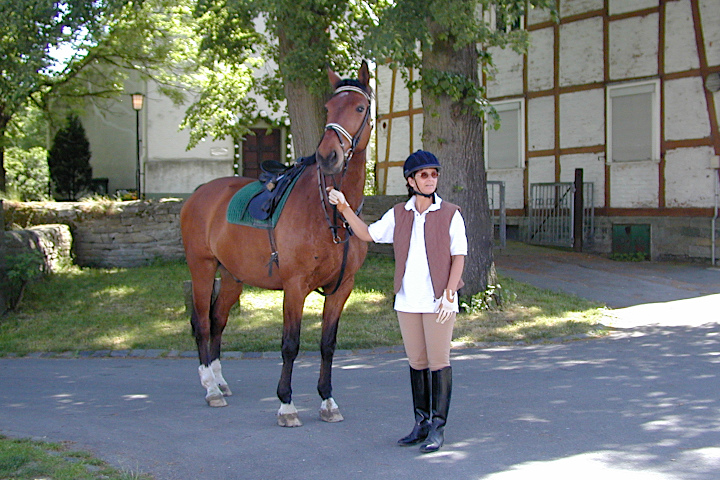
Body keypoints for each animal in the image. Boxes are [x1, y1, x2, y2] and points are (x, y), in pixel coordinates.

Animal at [179, 61, 374, 428]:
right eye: (328, 108)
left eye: (359, 108)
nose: (328, 156)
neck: (331, 211)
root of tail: (199, 193)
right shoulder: (294, 286)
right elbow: (290, 345)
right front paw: (286, 404)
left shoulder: (342, 287)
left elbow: (328, 344)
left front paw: (327, 400)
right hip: (202, 269)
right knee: (202, 323)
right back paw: (210, 387)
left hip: (231, 277)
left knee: (218, 320)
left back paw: (220, 381)